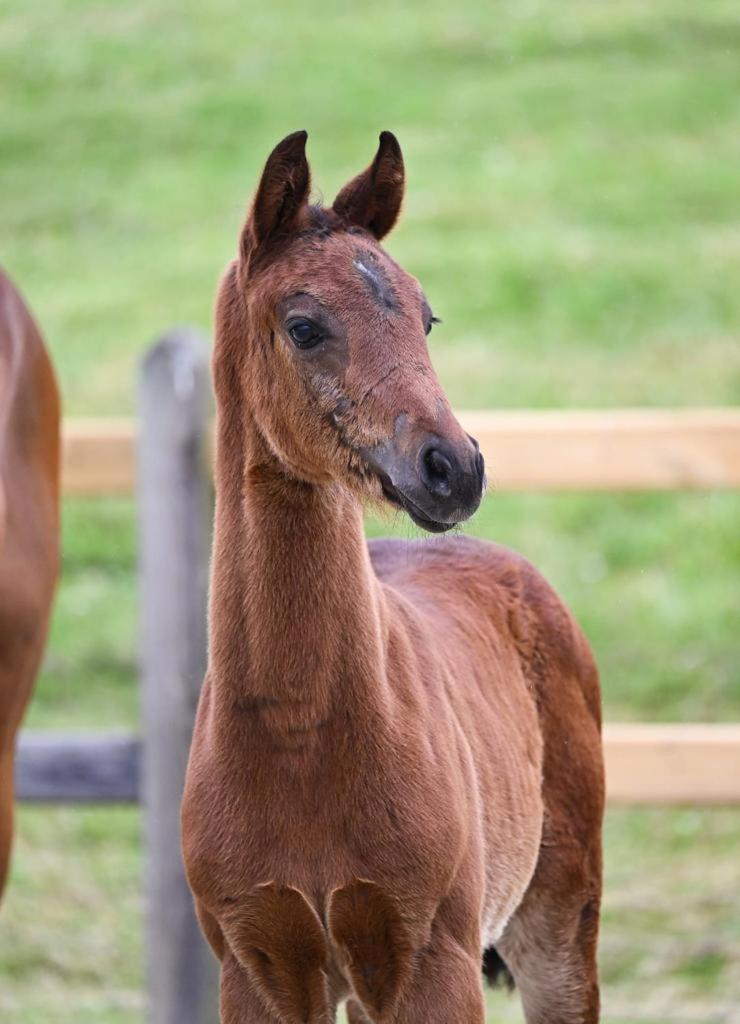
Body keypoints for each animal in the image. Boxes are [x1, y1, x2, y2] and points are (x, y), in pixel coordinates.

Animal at [182, 134, 605, 1024]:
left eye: (425, 316)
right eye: (304, 326)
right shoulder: (258, 966)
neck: (299, 740)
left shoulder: (432, 960)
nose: (455, 468)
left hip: (559, 918)